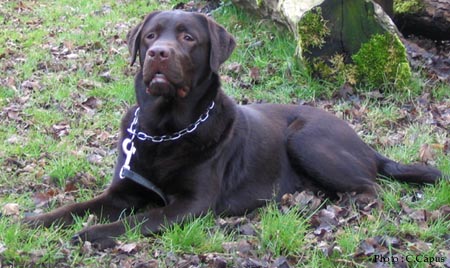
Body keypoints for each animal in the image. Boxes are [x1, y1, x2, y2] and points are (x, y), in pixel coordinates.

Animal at [23, 11, 440, 249]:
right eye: (150, 36)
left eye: (188, 37)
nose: (158, 53)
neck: (164, 128)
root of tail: (365, 144)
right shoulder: (123, 191)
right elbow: (76, 207)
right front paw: (37, 221)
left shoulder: (192, 205)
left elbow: (138, 220)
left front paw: (91, 235)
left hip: (304, 138)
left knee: (371, 188)